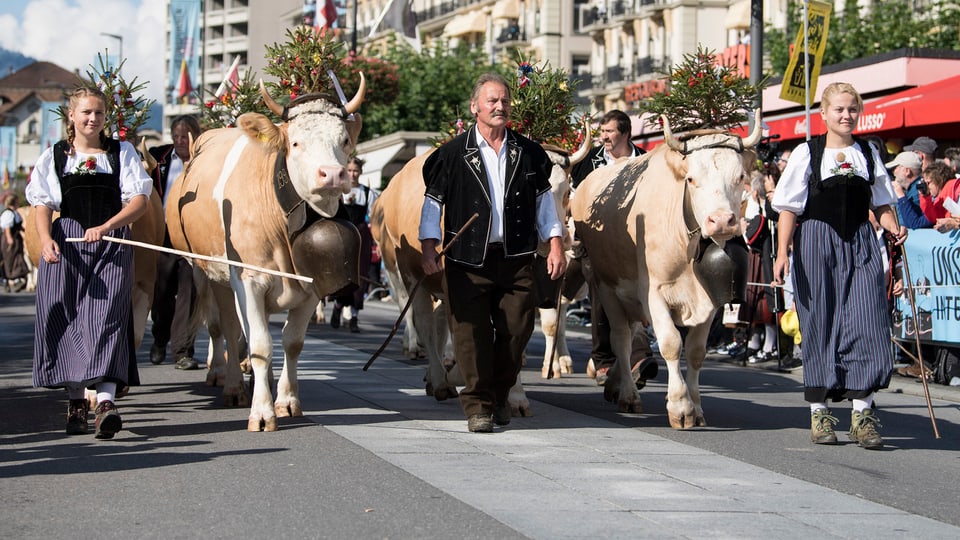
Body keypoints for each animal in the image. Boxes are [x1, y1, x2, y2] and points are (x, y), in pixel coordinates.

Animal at [165, 77, 364, 430]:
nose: (333, 174)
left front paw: (285, 400)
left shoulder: (313, 286)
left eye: (344, 141)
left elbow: (292, 342)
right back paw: (228, 381)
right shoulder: (249, 281)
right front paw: (261, 411)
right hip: (208, 274)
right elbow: (258, 344)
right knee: (224, 328)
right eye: (295, 143)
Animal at [568, 116, 756, 428]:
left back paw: (620, 381)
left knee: (632, 332)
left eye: (741, 177)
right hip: (607, 286)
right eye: (691, 179)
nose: (721, 221)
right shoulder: (653, 292)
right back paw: (628, 394)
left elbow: (695, 352)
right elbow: (670, 343)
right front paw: (680, 407)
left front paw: (697, 407)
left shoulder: (710, 299)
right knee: (620, 337)